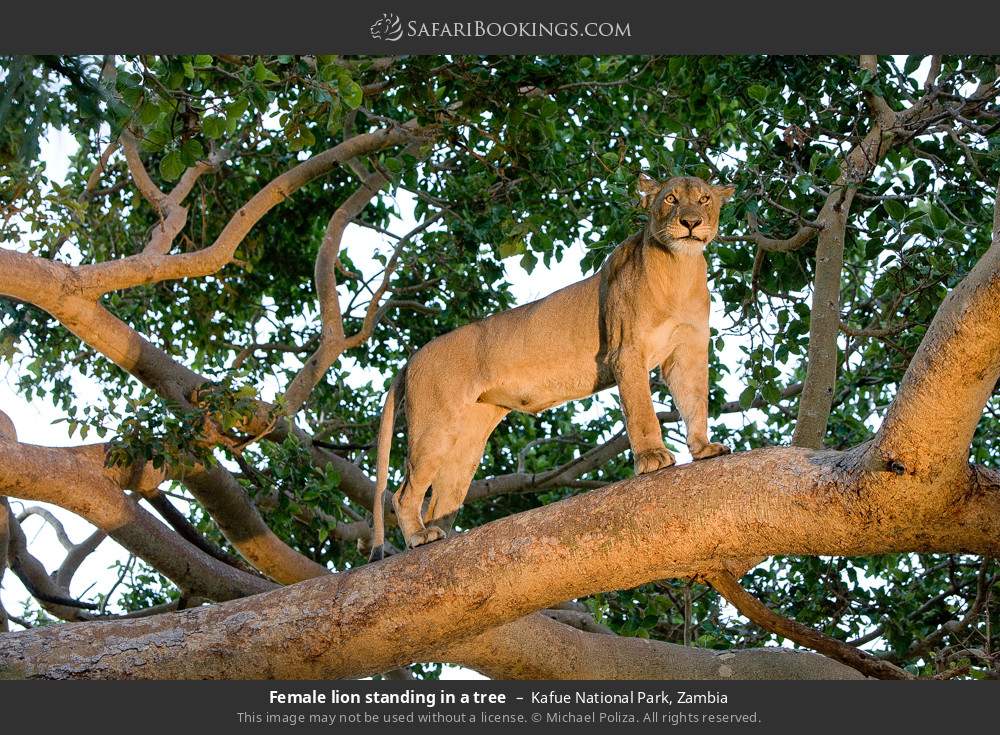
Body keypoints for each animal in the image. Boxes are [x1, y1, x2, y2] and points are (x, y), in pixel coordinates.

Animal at [368, 174, 735, 560]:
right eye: (670, 199)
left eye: (704, 199)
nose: (691, 222)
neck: (680, 269)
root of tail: (412, 359)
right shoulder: (627, 350)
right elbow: (642, 411)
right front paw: (652, 457)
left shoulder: (687, 352)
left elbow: (695, 402)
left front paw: (703, 448)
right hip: (435, 427)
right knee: (402, 494)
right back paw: (419, 537)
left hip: (467, 441)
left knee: (441, 501)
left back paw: (441, 539)